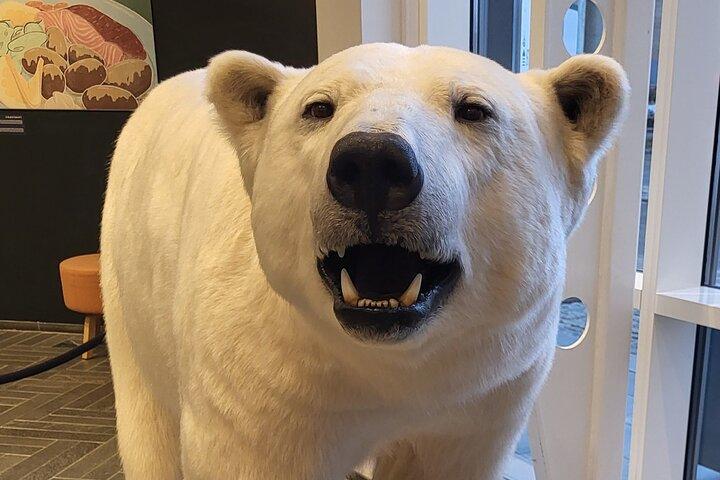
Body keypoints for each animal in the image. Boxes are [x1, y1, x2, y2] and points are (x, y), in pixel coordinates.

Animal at [100, 43, 628, 479]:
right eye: (319, 107)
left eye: (474, 110)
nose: (373, 162)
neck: (381, 364)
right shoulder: (261, 384)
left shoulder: (481, 396)